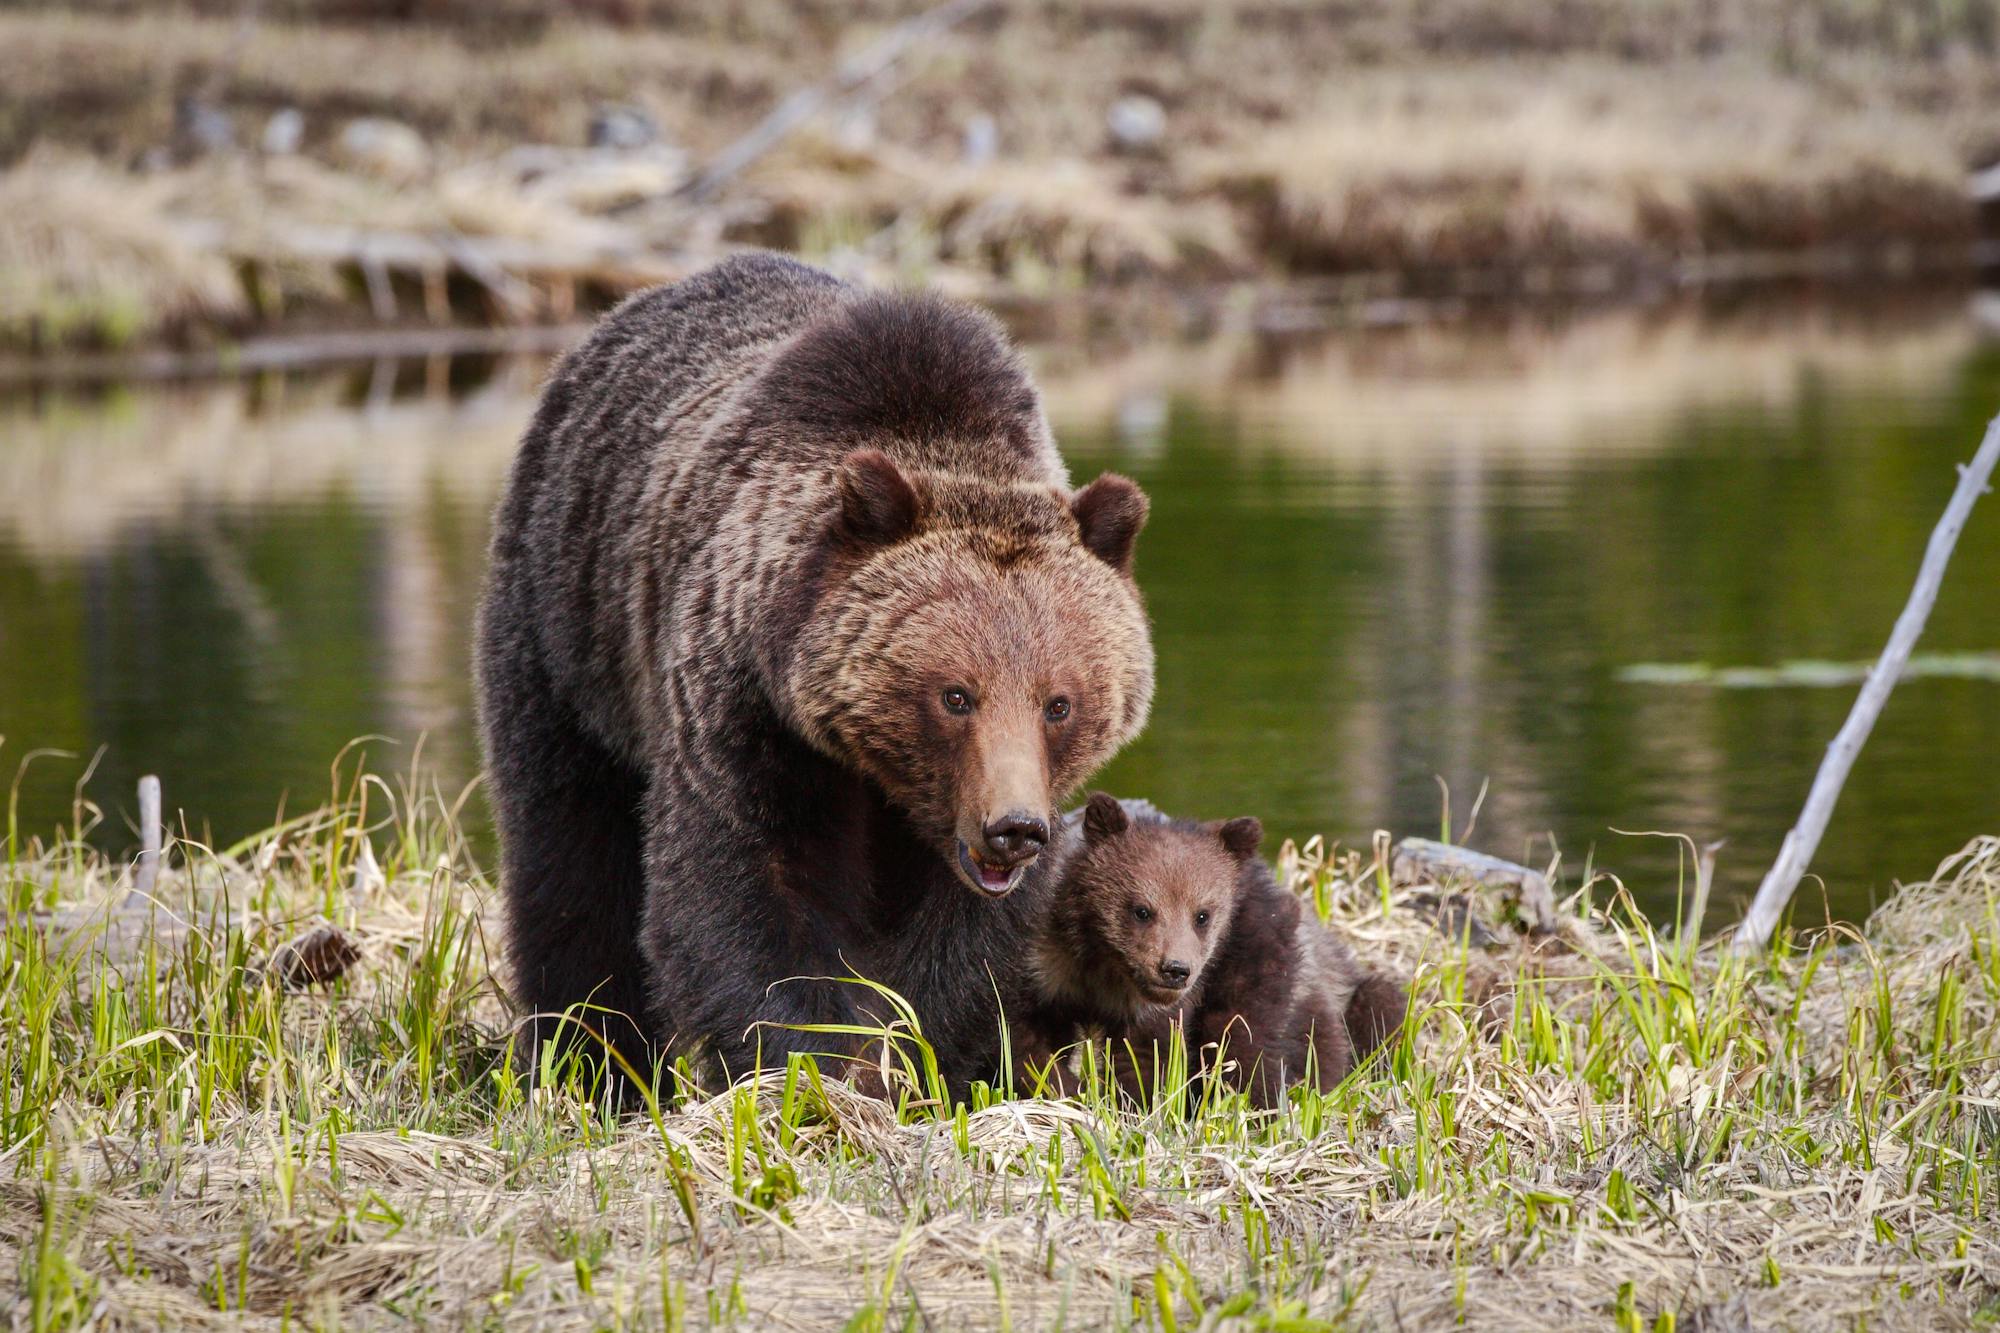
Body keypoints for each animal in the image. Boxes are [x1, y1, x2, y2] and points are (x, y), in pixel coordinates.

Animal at [474, 253, 1154, 1095]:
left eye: (1059, 702)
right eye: (955, 695)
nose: (1014, 827)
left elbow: (965, 940)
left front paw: (910, 1057)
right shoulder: (743, 709)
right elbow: (744, 889)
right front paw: (810, 1068)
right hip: (567, 624)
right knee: (569, 846)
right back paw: (591, 1057)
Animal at [1016, 794, 1406, 1106]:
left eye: (1202, 915)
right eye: (1141, 910)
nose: (1174, 969)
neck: (1105, 963)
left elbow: (1148, 1056)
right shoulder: (1044, 962)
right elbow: (1028, 1040)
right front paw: (1064, 1089)